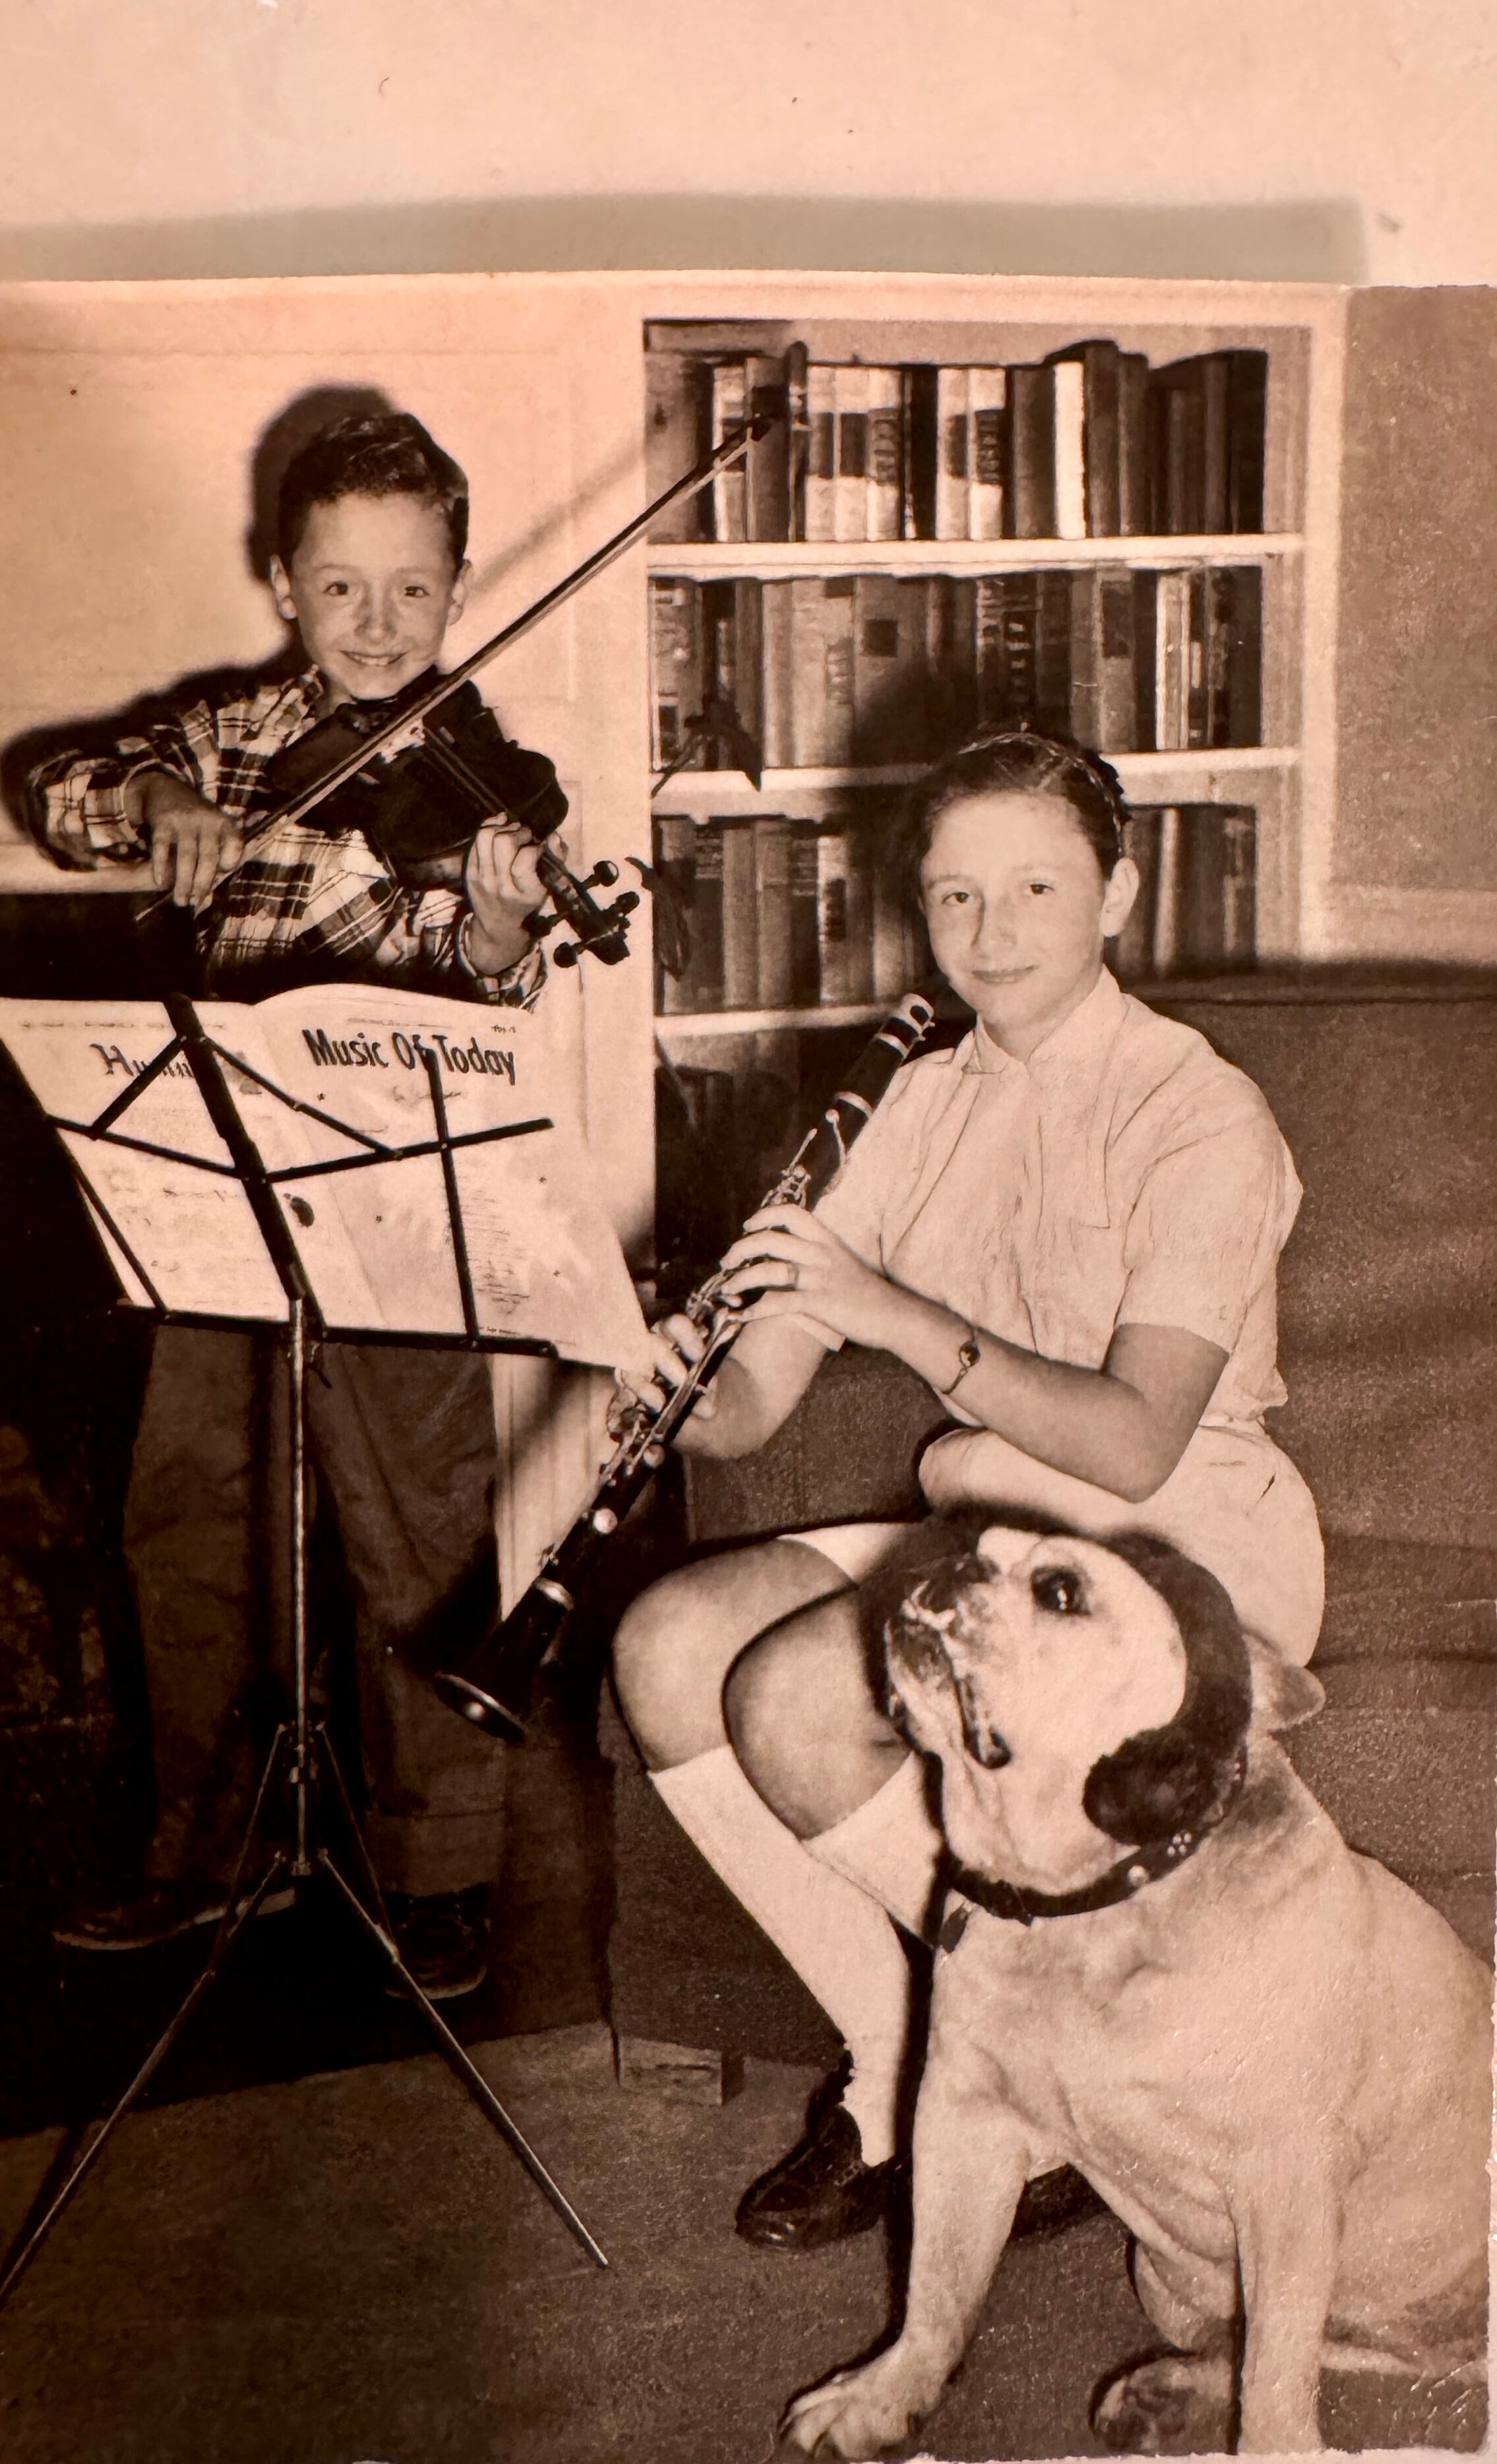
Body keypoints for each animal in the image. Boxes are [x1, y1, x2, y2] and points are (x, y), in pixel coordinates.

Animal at [782, 1520, 1492, 2458]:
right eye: (980, 1544)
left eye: (1058, 1591)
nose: (949, 1563)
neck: (1086, 1904)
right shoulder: (960, 2118)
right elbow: (935, 2284)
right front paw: (880, 2395)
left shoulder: (1286, 2188)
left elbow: (1273, 2380)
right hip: (1166, 2282)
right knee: (1343, 2353)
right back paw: (1171, 2392)